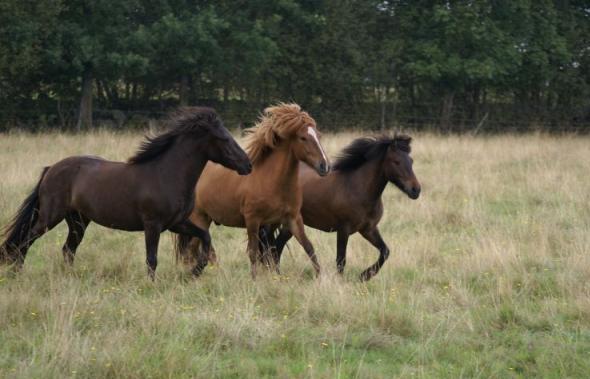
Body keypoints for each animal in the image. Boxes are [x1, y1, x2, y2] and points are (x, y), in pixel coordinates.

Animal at [0, 107, 252, 280]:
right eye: (224, 138)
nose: (247, 165)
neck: (166, 173)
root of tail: (51, 168)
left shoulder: (176, 223)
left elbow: (205, 238)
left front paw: (195, 272)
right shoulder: (153, 225)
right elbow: (152, 259)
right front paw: (152, 285)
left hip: (78, 220)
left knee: (68, 249)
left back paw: (67, 278)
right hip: (50, 217)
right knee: (27, 240)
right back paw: (16, 272)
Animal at [176, 103, 332, 280]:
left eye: (318, 135)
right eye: (303, 138)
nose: (324, 166)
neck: (272, 182)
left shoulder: (293, 219)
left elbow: (308, 247)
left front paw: (321, 278)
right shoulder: (253, 220)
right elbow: (253, 252)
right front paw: (254, 279)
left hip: (205, 219)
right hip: (199, 218)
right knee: (194, 248)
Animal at [260, 135, 420, 280]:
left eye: (411, 161)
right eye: (396, 162)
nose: (416, 190)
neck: (357, 188)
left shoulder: (368, 229)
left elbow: (385, 252)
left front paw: (364, 276)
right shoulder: (343, 230)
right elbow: (341, 260)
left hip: (290, 225)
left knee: (276, 247)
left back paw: (278, 275)